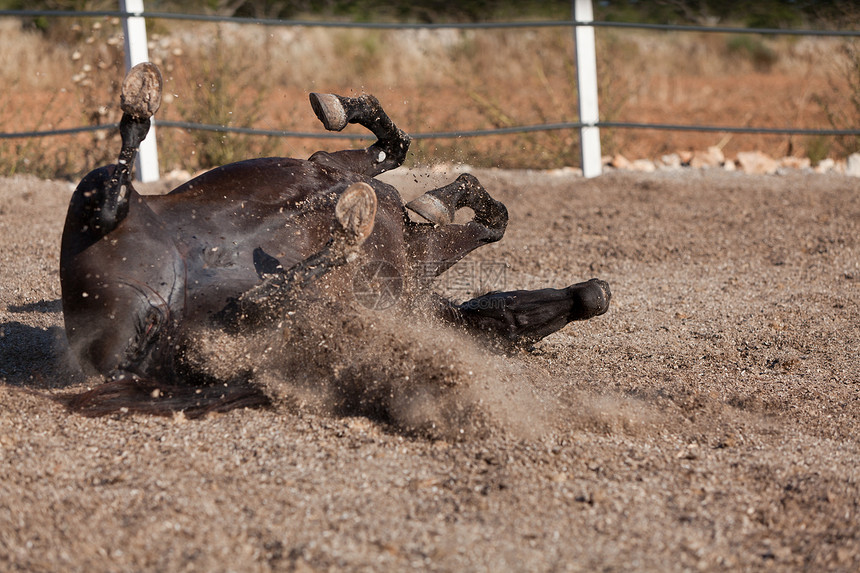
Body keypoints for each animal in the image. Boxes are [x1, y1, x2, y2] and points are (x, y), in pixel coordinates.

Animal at [58, 63, 612, 416]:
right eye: (522, 319)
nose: (597, 294)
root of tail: (112, 363)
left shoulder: (411, 246)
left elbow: (465, 208)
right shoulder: (342, 170)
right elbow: (400, 151)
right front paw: (343, 110)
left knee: (246, 303)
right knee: (117, 186)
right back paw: (139, 101)